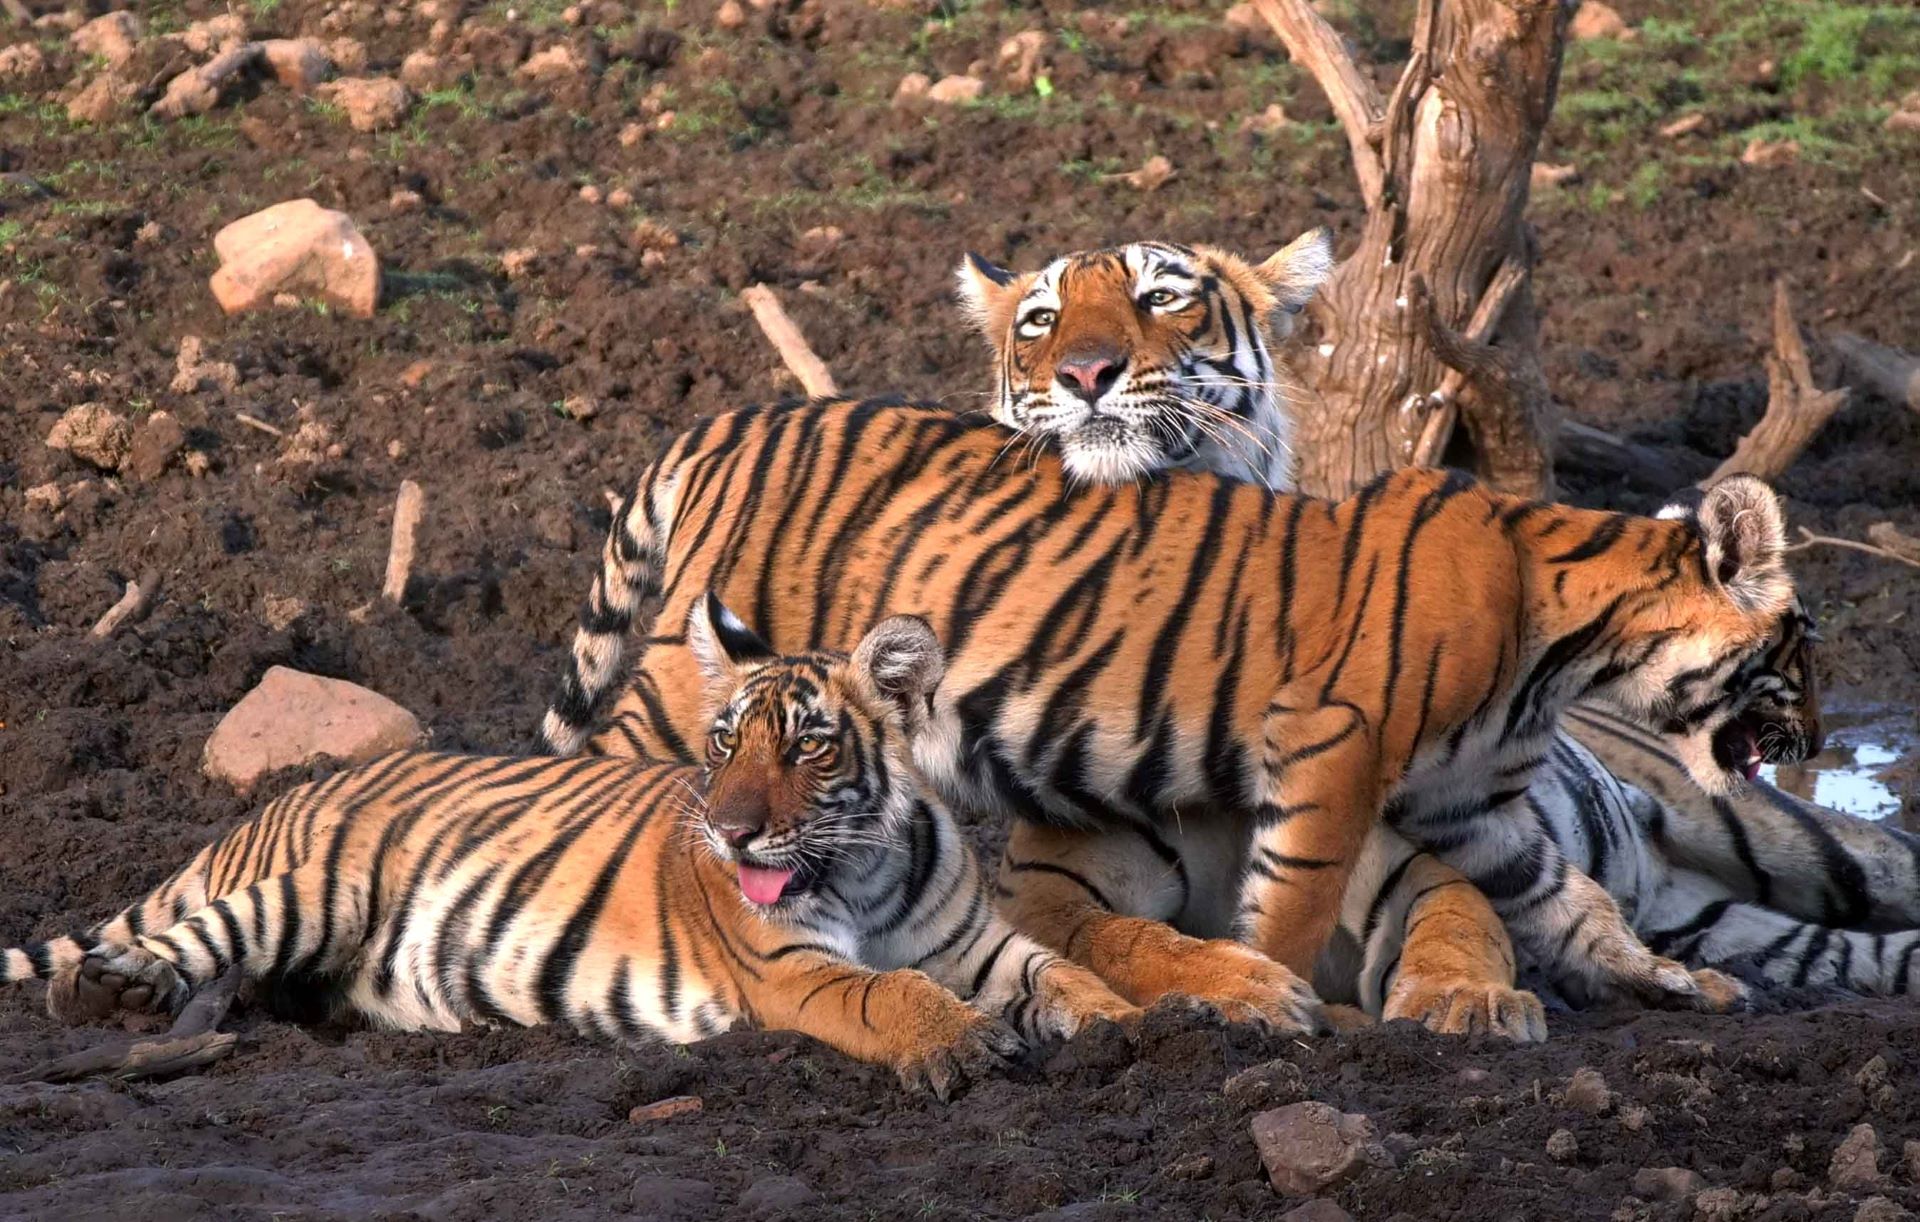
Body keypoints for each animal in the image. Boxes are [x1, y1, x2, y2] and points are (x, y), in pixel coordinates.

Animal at [2, 597, 1137, 1099]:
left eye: (809, 746)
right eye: (723, 745)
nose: (731, 829)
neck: (865, 866)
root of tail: (269, 806)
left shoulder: (977, 944)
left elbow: (1063, 974)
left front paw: (1138, 1025)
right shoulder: (791, 968)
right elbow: (888, 993)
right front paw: (961, 1044)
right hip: (311, 888)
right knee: (173, 945)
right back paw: (112, 994)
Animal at [540, 396, 1811, 1037]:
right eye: (1803, 646)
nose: (1811, 745)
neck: (1569, 648)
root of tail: (728, 420)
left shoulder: (1476, 808)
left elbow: (1571, 896)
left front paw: (1665, 979)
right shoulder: (1331, 748)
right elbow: (1287, 909)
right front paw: (1281, 1008)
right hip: (683, 690)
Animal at [955, 238, 1920, 1003]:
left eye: (1160, 296)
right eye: (1041, 320)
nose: (1083, 375)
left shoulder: (1387, 838)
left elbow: (1444, 915)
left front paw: (1453, 999)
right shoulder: (1046, 882)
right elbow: (1126, 938)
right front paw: (1239, 987)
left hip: (1784, 832)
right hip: (1728, 916)